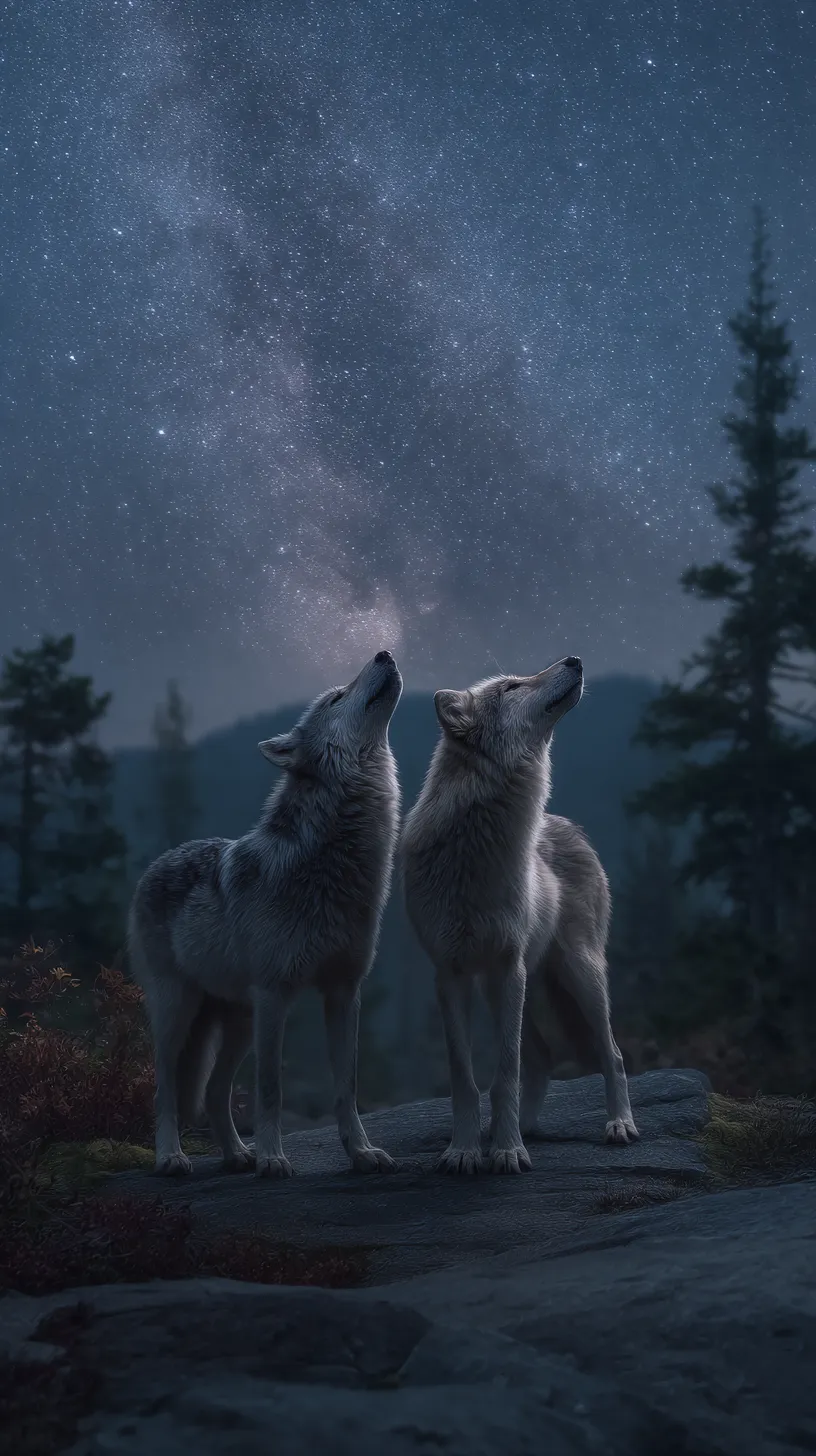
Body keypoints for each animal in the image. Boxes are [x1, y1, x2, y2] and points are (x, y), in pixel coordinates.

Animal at [128, 649, 403, 1179]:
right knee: (164, 1090)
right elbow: (271, 1089)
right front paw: (275, 1158)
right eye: (337, 696)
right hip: (179, 1013)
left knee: (215, 1092)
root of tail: (157, 862)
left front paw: (361, 1152)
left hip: (237, 1020)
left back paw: (238, 1155)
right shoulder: (276, 994)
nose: (384, 653)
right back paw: (172, 1157)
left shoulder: (344, 992)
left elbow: (348, 1087)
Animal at [401, 655, 638, 1175]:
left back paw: (618, 1125)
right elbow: (466, 1076)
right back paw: (516, 1129)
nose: (575, 659)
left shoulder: (508, 966)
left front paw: (508, 1153)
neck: (476, 851)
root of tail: (566, 824)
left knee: (611, 1053)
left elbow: (504, 1070)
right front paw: (466, 1150)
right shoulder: (450, 973)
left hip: (576, 974)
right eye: (511, 687)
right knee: (541, 1059)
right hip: (509, 987)